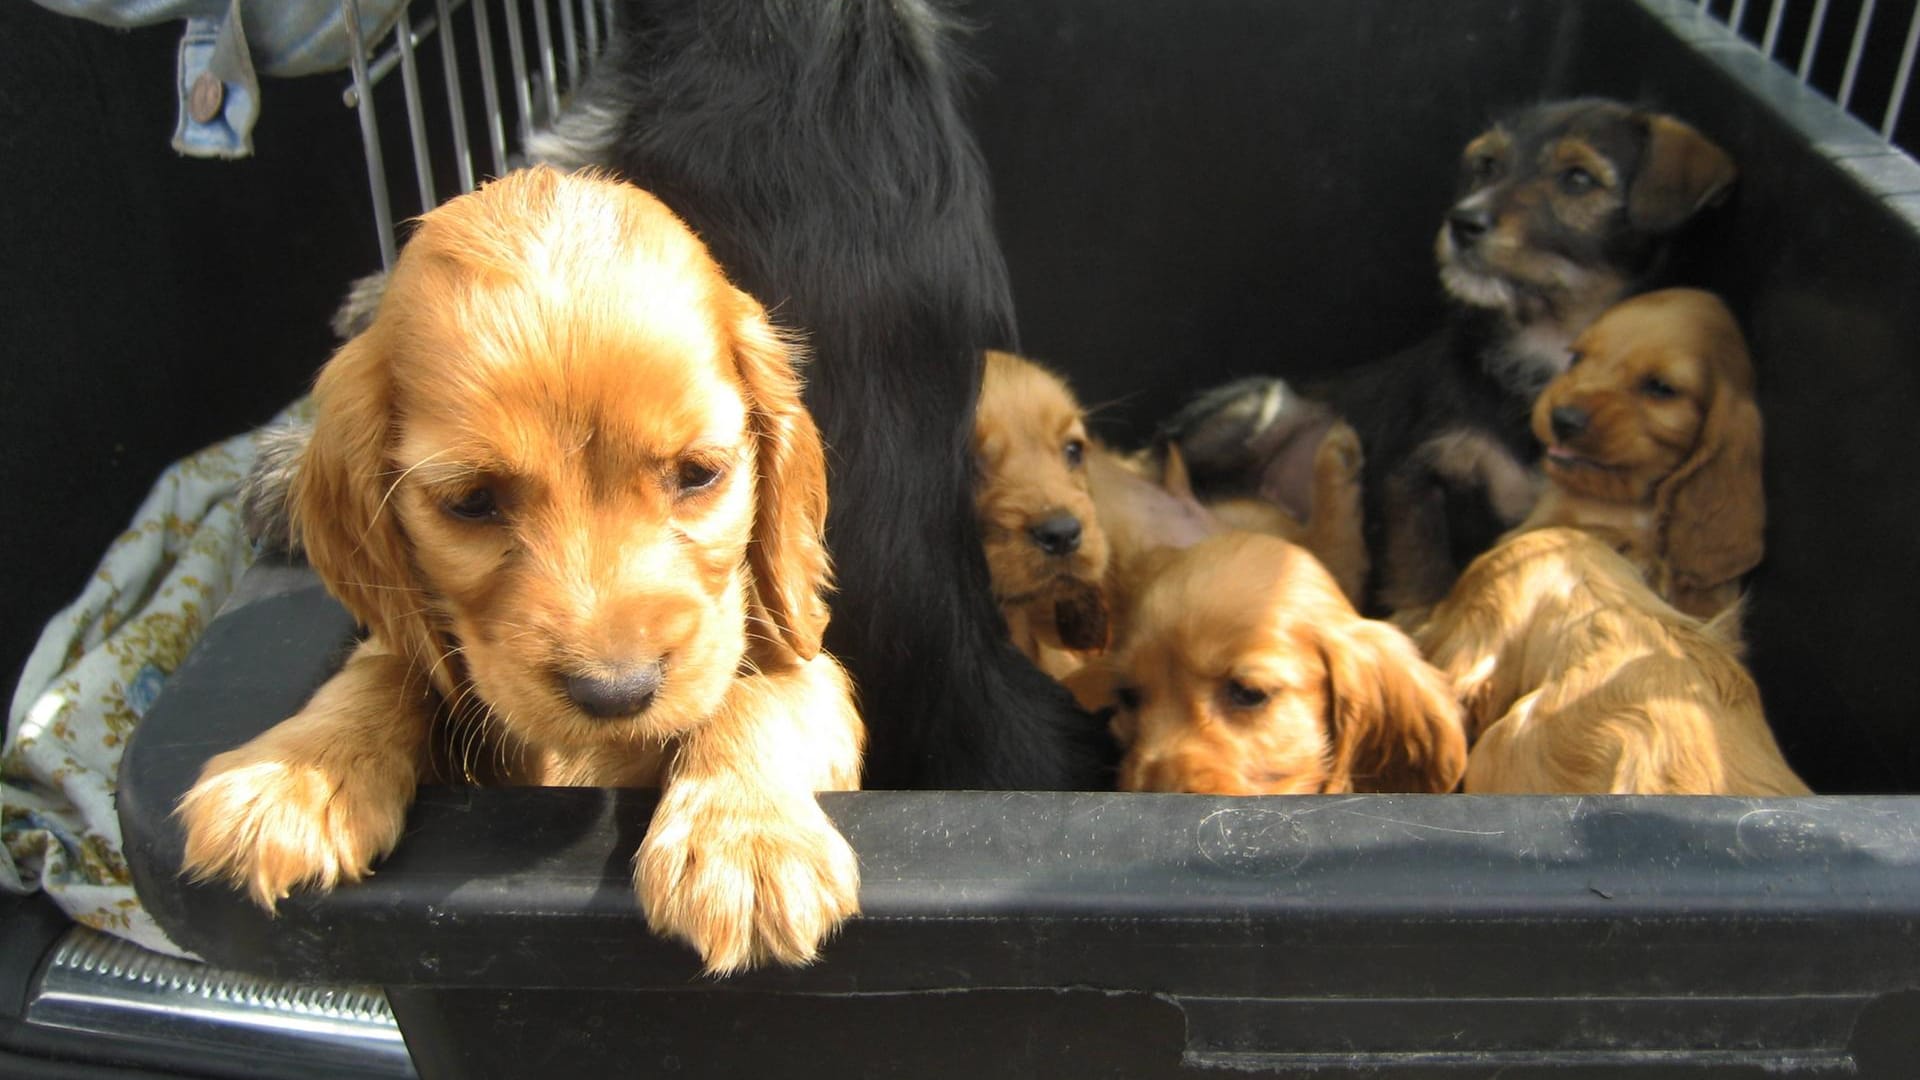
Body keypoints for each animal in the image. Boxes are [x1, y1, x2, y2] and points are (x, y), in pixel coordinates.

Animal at [176, 170, 867, 976]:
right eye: (472, 501)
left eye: (699, 473)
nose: (617, 692)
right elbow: (391, 664)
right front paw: (294, 773)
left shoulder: (804, 659)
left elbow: (763, 691)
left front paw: (745, 843)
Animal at [1520, 286, 1758, 618]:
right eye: (1576, 358)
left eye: (1660, 387)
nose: (1563, 418)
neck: (1637, 505)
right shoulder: (1535, 525)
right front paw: (1632, 552)